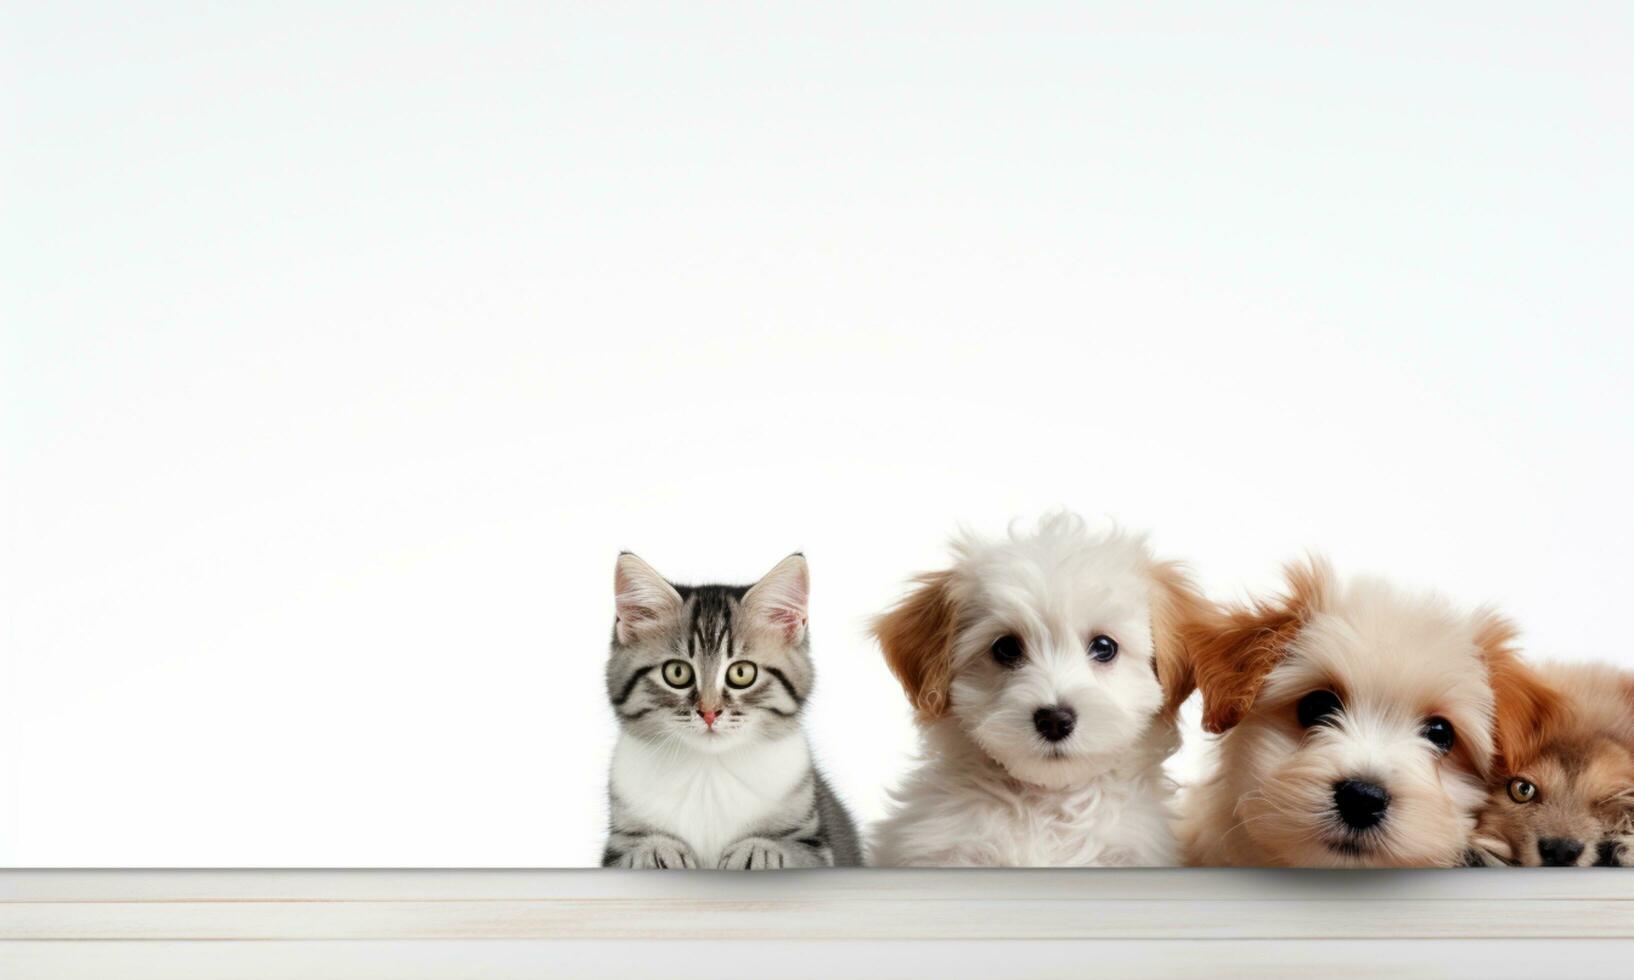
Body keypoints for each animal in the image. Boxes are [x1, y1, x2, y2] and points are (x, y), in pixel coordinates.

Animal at [598, 555, 856, 868]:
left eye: (741, 673)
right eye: (677, 672)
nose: (709, 713)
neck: (708, 772)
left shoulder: (815, 843)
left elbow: (791, 850)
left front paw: (759, 852)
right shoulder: (615, 846)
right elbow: (634, 850)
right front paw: (656, 851)